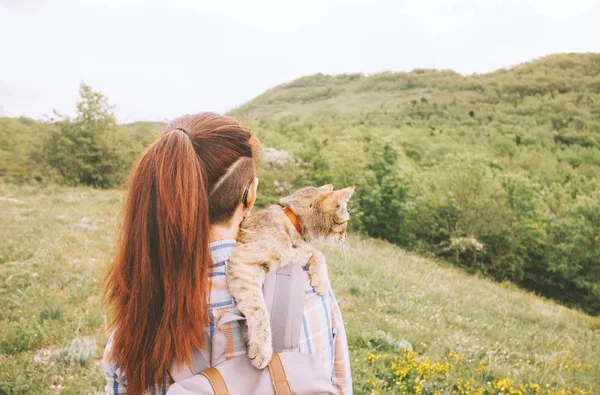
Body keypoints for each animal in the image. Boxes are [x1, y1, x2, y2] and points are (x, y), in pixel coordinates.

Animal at [227, 184, 354, 370]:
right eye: (344, 222)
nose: (345, 236)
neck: (295, 230)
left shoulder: (297, 254)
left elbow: (318, 253)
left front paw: (321, 280)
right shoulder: (245, 263)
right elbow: (259, 311)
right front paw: (263, 349)